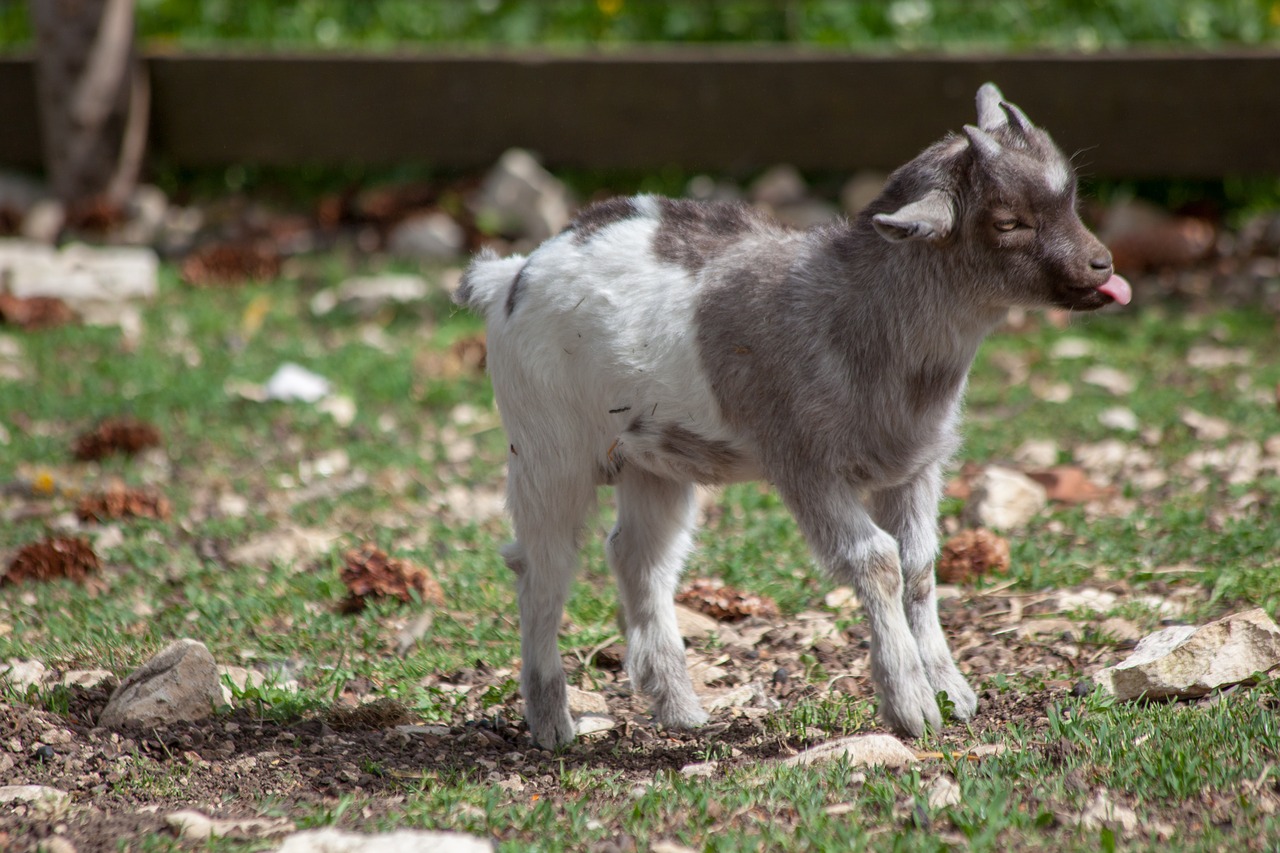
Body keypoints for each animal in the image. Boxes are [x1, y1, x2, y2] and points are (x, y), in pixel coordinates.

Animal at [458, 81, 1131, 742]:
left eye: (1071, 195)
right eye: (1008, 221)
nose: (1103, 267)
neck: (856, 312)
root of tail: (511, 276)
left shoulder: (915, 466)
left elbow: (918, 564)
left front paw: (952, 691)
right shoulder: (805, 463)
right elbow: (877, 560)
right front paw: (912, 706)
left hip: (654, 459)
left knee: (638, 559)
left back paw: (680, 710)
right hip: (547, 449)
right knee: (542, 566)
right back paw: (554, 724)